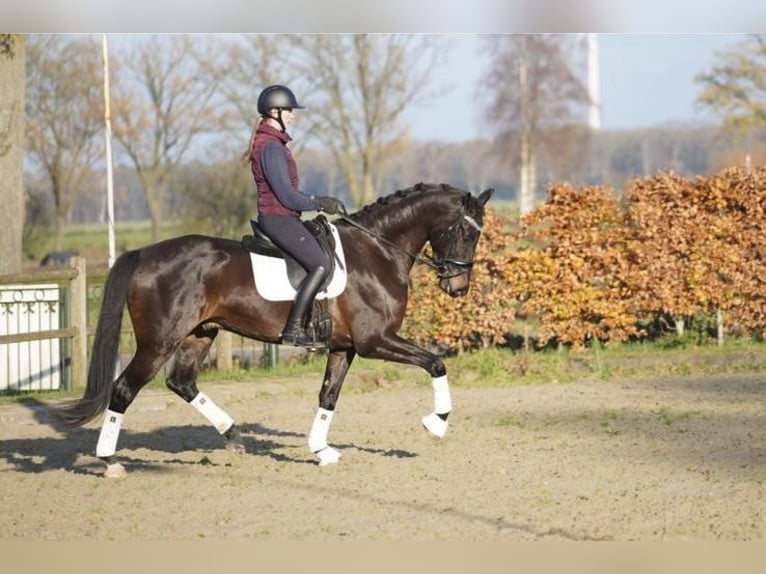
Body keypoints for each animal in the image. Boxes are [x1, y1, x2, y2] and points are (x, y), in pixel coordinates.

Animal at [53, 182, 494, 476]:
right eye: (465, 231)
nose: (457, 287)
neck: (377, 251)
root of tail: (144, 253)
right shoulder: (375, 341)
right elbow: (436, 363)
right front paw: (437, 423)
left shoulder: (345, 347)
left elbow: (328, 396)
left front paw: (321, 451)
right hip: (158, 342)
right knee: (124, 389)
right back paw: (110, 461)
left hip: (200, 333)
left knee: (181, 382)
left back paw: (234, 436)